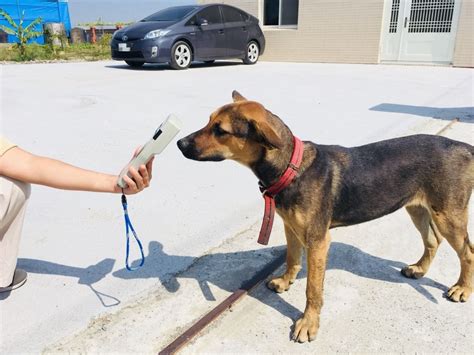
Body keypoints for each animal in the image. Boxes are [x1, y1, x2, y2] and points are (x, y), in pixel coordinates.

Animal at [178, 91, 474, 342]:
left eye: (220, 130)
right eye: (209, 121)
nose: (179, 143)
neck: (291, 167)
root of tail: (463, 147)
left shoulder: (318, 241)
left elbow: (313, 288)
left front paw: (308, 323)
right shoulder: (290, 228)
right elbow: (292, 259)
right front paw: (285, 281)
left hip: (448, 215)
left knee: (467, 252)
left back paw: (462, 289)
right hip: (418, 208)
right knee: (433, 240)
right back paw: (419, 269)